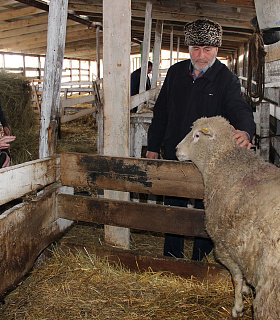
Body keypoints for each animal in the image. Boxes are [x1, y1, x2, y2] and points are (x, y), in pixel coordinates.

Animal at [176, 117, 278, 320]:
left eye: (197, 135)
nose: (176, 149)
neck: (224, 162)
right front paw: (245, 291)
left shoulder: (225, 245)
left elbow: (236, 277)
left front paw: (238, 307)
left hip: (271, 286)